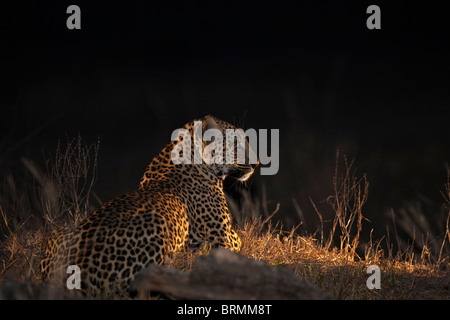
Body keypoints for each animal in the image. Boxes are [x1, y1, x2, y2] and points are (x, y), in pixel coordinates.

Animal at [40, 114, 258, 296]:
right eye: (237, 144)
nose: (256, 163)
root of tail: (79, 270)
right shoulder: (220, 238)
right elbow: (237, 240)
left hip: (58, 232)